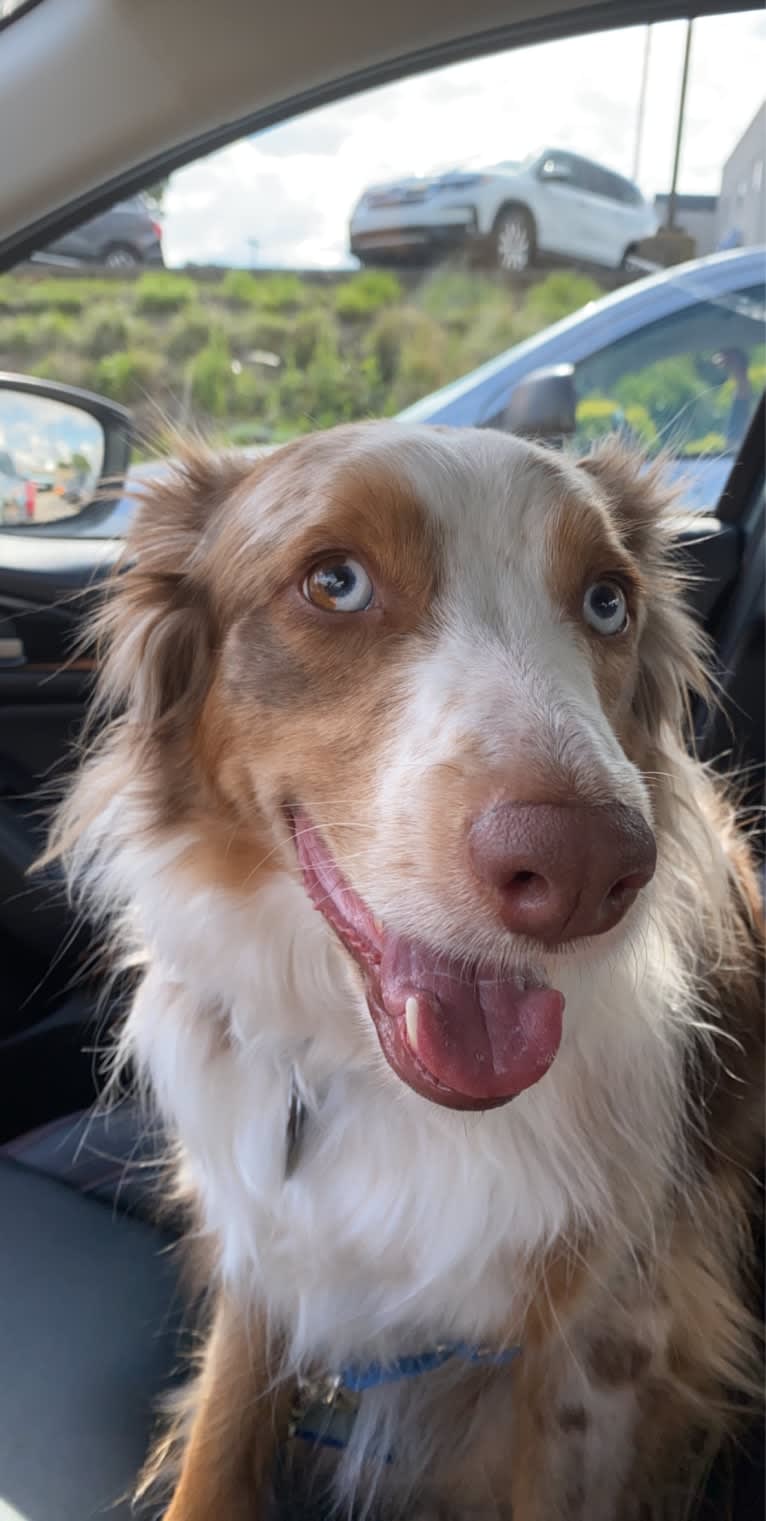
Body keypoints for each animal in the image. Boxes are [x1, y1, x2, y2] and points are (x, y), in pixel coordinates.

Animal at [52, 425, 759, 1521]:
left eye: (607, 599)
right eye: (334, 582)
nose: (583, 870)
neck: (373, 1082)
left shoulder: (608, 1348)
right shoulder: (268, 1240)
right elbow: (217, 1445)